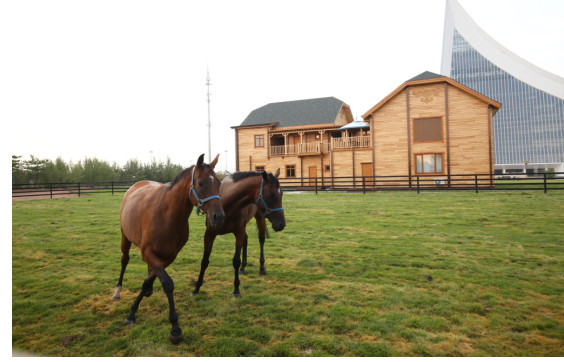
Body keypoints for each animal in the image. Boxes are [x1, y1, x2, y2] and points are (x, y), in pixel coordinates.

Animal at [111, 154, 224, 344]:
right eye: (200, 183)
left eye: (218, 183)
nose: (219, 217)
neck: (167, 215)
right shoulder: (148, 253)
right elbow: (168, 284)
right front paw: (175, 329)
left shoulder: (168, 256)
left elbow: (149, 281)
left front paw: (136, 306)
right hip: (125, 238)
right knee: (124, 261)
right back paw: (117, 292)